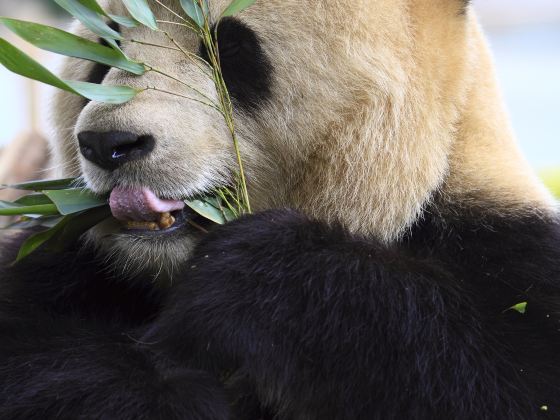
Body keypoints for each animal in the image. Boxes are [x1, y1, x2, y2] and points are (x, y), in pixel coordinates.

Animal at [1, 0, 560, 418]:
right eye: (108, 47)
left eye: (227, 47)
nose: (109, 142)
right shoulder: (67, 261)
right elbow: (32, 356)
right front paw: (166, 391)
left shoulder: (504, 248)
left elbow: (505, 379)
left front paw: (249, 278)